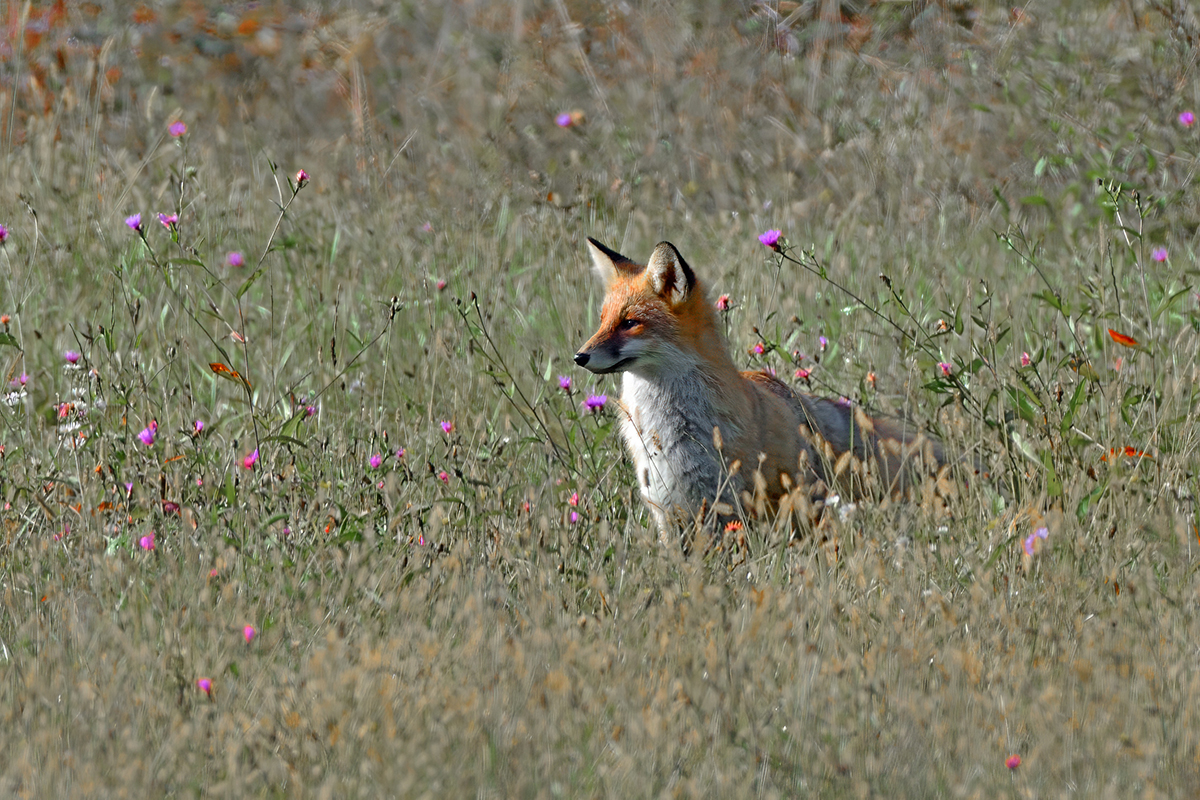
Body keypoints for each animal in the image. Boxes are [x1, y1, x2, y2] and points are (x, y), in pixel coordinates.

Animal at [571, 237, 955, 537]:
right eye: (603, 320)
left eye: (629, 323)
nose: (579, 356)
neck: (672, 433)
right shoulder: (670, 511)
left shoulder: (730, 507)